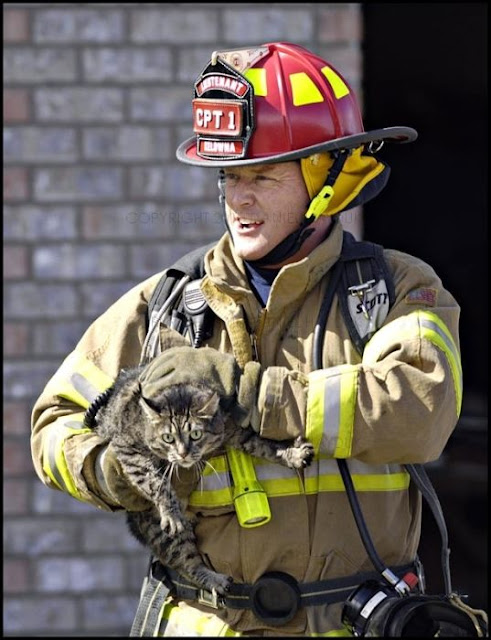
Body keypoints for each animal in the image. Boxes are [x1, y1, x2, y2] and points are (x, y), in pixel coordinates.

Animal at [91, 364, 316, 596]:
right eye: (168, 438)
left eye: (196, 434)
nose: (183, 453)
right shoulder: (128, 449)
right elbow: (156, 482)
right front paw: (171, 511)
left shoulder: (230, 428)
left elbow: (263, 444)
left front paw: (292, 454)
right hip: (162, 531)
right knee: (187, 563)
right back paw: (214, 580)